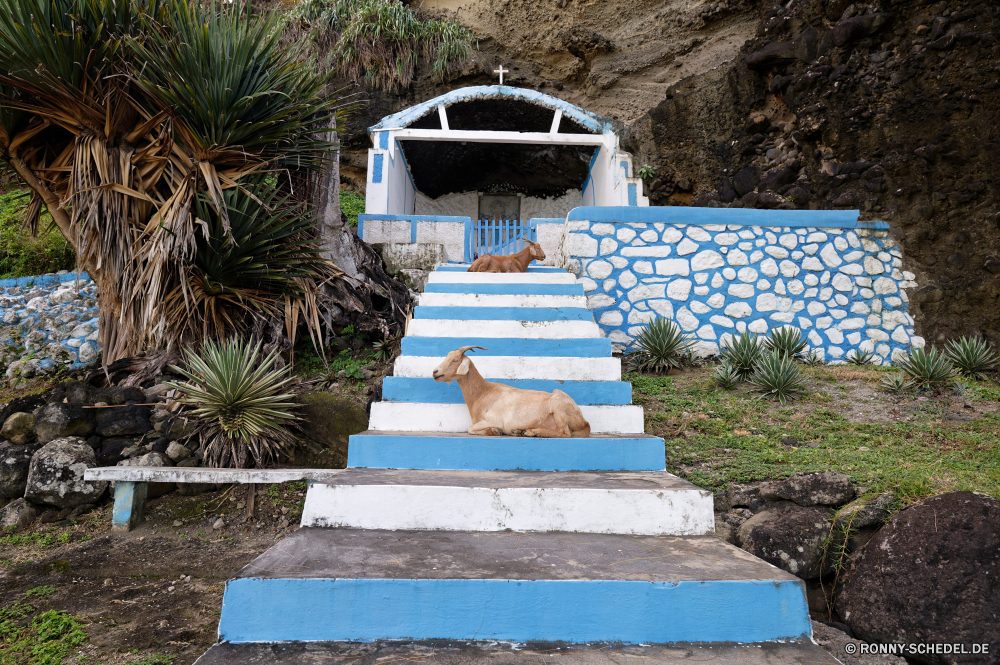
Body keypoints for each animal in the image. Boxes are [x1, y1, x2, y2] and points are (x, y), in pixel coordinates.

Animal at [432, 344, 588, 438]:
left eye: (455, 360)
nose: (435, 372)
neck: (483, 393)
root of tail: (584, 421)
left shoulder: (492, 419)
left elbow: (470, 428)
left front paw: (494, 430)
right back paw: (521, 431)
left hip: (558, 403)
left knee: (565, 432)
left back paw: (533, 431)